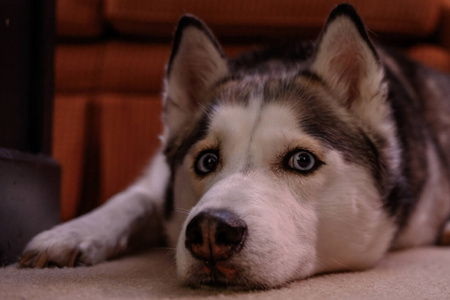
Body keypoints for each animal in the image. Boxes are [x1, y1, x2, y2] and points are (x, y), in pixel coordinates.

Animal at [20, 4, 450, 290]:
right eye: (206, 161)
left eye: (302, 160)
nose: (211, 231)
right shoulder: (156, 175)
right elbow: (133, 199)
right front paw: (69, 234)